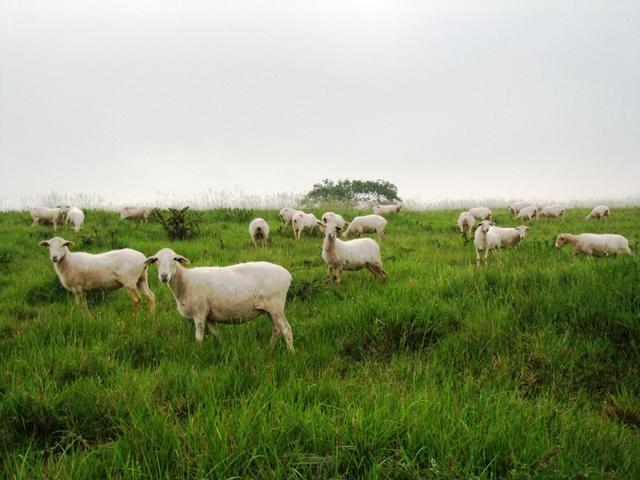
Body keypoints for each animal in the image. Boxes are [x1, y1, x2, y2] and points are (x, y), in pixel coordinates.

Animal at [146, 248, 296, 348]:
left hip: (276, 305)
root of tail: (287, 275)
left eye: (175, 259)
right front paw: (220, 347)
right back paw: (270, 348)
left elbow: (198, 338)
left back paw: (291, 353)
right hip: (270, 309)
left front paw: (198, 353)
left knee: (286, 329)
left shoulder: (199, 313)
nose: (164, 276)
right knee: (276, 328)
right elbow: (215, 334)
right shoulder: (209, 315)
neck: (185, 281)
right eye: (157, 260)